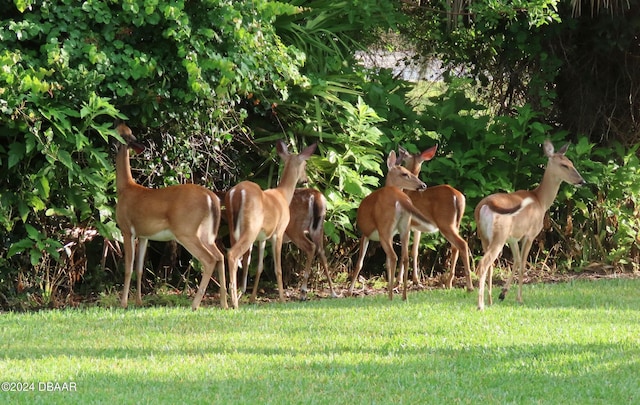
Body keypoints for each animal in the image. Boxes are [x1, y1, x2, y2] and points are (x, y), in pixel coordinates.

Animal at [115, 123, 228, 310]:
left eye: (116, 131)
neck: (125, 188)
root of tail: (212, 198)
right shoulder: (144, 235)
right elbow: (139, 268)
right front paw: (138, 301)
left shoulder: (126, 229)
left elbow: (128, 268)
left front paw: (123, 303)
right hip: (207, 233)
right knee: (220, 256)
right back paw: (226, 303)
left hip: (186, 231)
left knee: (209, 259)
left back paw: (195, 304)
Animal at [225, 140, 318, 308]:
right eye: (305, 164)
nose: (306, 179)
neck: (283, 194)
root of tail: (236, 193)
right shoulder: (278, 232)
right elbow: (278, 268)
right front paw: (282, 299)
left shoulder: (262, 237)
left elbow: (260, 267)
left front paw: (253, 299)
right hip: (250, 227)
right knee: (232, 254)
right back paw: (234, 303)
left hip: (232, 228)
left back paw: (229, 301)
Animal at [348, 149, 438, 300]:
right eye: (405, 173)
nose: (423, 185)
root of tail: (401, 200)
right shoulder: (389, 234)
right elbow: (387, 263)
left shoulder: (365, 233)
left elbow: (360, 263)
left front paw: (349, 290)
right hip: (404, 228)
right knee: (404, 257)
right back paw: (403, 295)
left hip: (384, 228)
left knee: (394, 256)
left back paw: (391, 295)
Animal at [400, 145, 476, 290]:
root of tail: (457, 197)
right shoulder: (417, 227)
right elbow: (415, 251)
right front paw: (416, 281)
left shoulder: (406, 223)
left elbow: (405, 251)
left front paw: (399, 282)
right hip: (456, 223)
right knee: (455, 247)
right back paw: (449, 283)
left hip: (445, 222)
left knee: (462, 244)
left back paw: (469, 286)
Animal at [476, 139, 584, 310]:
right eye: (564, 165)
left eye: (571, 162)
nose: (582, 181)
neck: (540, 200)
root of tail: (484, 205)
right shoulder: (530, 234)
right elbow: (523, 264)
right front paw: (519, 298)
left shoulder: (513, 237)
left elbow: (516, 261)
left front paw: (503, 293)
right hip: (499, 236)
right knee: (483, 264)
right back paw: (480, 305)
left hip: (484, 236)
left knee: (489, 265)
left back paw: (489, 301)